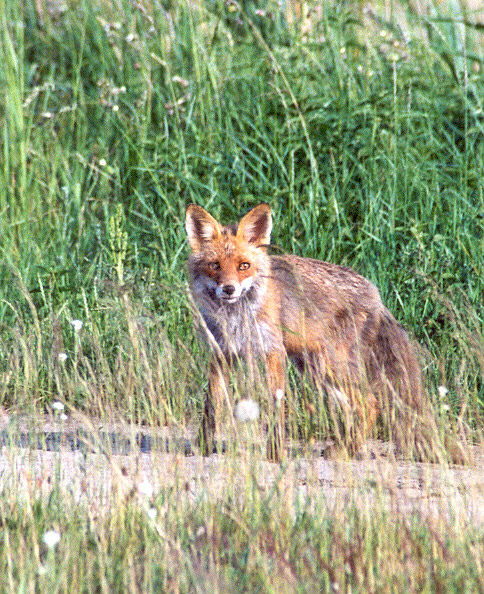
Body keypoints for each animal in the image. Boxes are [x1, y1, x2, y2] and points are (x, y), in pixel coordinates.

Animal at [185, 202, 424, 458]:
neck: (235, 318)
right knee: (354, 406)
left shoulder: (273, 352)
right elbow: (211, 405)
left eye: (244, 266)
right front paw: (203, 445)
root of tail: (375, 294)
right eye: (215, 266)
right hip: (315, 369)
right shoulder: (222, 353)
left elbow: (276, 405)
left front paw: (275, 453)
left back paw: (346, 450)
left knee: (369, 403)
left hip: (331, 366)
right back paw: (345, 447)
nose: (229, 289)